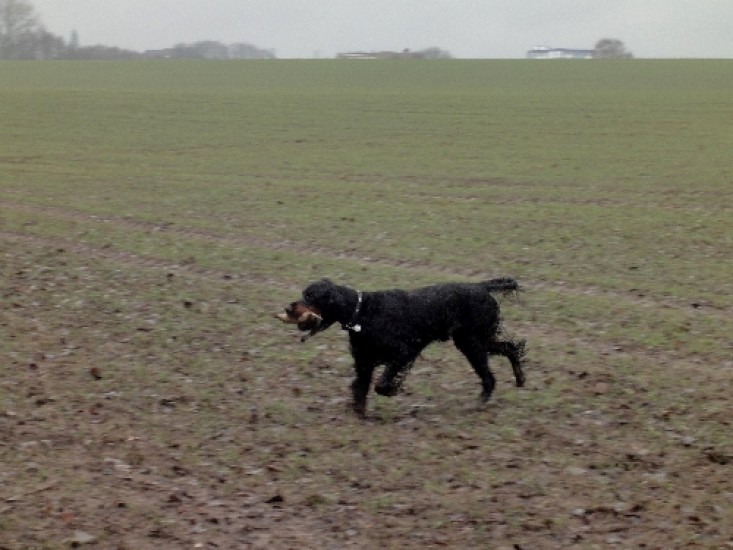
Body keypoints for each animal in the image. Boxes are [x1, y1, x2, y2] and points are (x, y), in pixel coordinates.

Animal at [276, 278, 526, 417]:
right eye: (303, 294)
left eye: (310, 296)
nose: (288, 307)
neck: (361, 312)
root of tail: (481, 287)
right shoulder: (364, 363)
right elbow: (360, 390)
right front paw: (359, 416)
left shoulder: (403, 352)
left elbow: (381, 383)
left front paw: (392, 389)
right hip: (475, 340)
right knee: (512, 348)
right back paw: (519, 378)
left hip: (472, 343)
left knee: (490, 375)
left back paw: (478, 404)